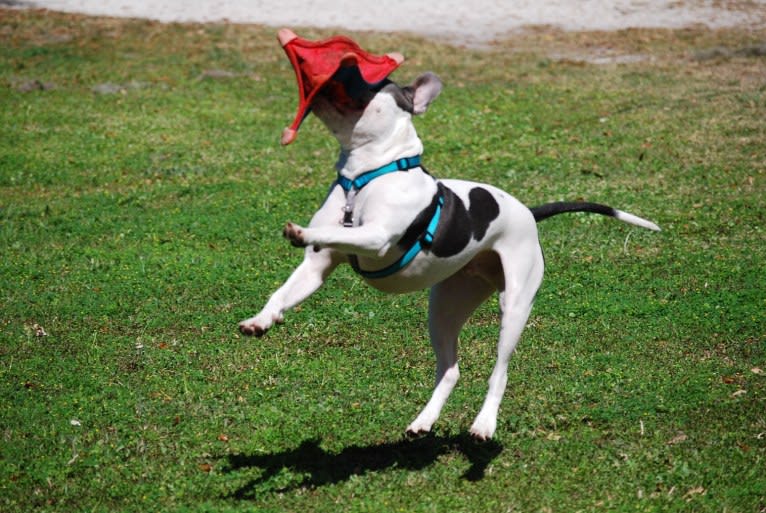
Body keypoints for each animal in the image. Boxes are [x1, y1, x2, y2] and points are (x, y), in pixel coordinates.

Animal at [238, 43, 660, 440]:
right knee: (450, 369)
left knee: (500, 371)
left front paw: (299, 232)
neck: (366, 175)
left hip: (515, 306)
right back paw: (423, 421)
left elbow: (336, 231)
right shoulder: (316, 266)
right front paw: (262, 319)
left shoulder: (375, 237)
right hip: (446, 305)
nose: (340, 70)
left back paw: (484, 424)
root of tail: (527, 211)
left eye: (371, 83)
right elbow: (283, 291)